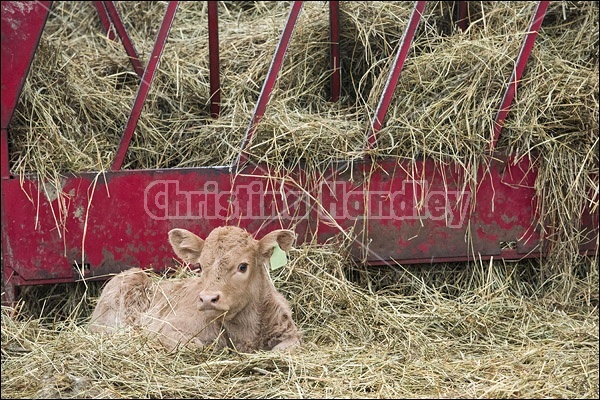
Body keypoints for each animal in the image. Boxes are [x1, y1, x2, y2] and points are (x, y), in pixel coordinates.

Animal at [89, 227, 302, 352]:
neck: (246, 332)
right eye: (200, 266)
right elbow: (196, 346)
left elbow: (286, 349)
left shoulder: (290, 334)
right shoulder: (165, 328)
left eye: (243, 266)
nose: (208, 299)